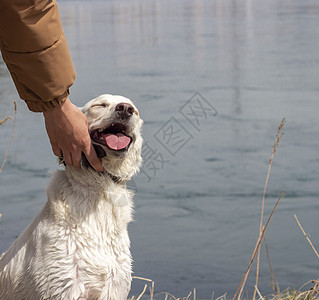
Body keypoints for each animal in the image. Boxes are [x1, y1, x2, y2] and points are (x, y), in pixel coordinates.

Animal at [0, 94, 143, 300]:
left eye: (135, 111)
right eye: (100, 105)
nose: (125, 109)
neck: (98, 190)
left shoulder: (114, 288)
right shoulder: (62, 286)